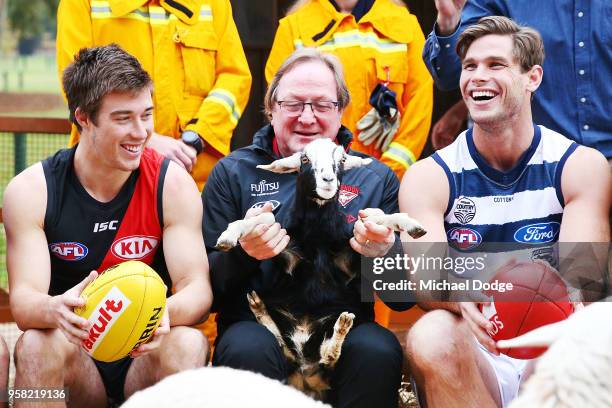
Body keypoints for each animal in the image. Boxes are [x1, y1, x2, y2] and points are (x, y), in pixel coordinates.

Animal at [215, 139, 426, 400]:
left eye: (342, 160)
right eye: (305, 159)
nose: (328, 180)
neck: (317, 236)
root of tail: (306, 375)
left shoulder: (349, 256)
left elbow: (373, 221)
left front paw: (412, 225)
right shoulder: (287, 251)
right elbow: (258, 221)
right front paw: (227, 236)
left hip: (326, 344)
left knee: (329, 355)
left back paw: (341, 326)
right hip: (288, 348)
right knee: (283, 343)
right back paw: (258, 306)